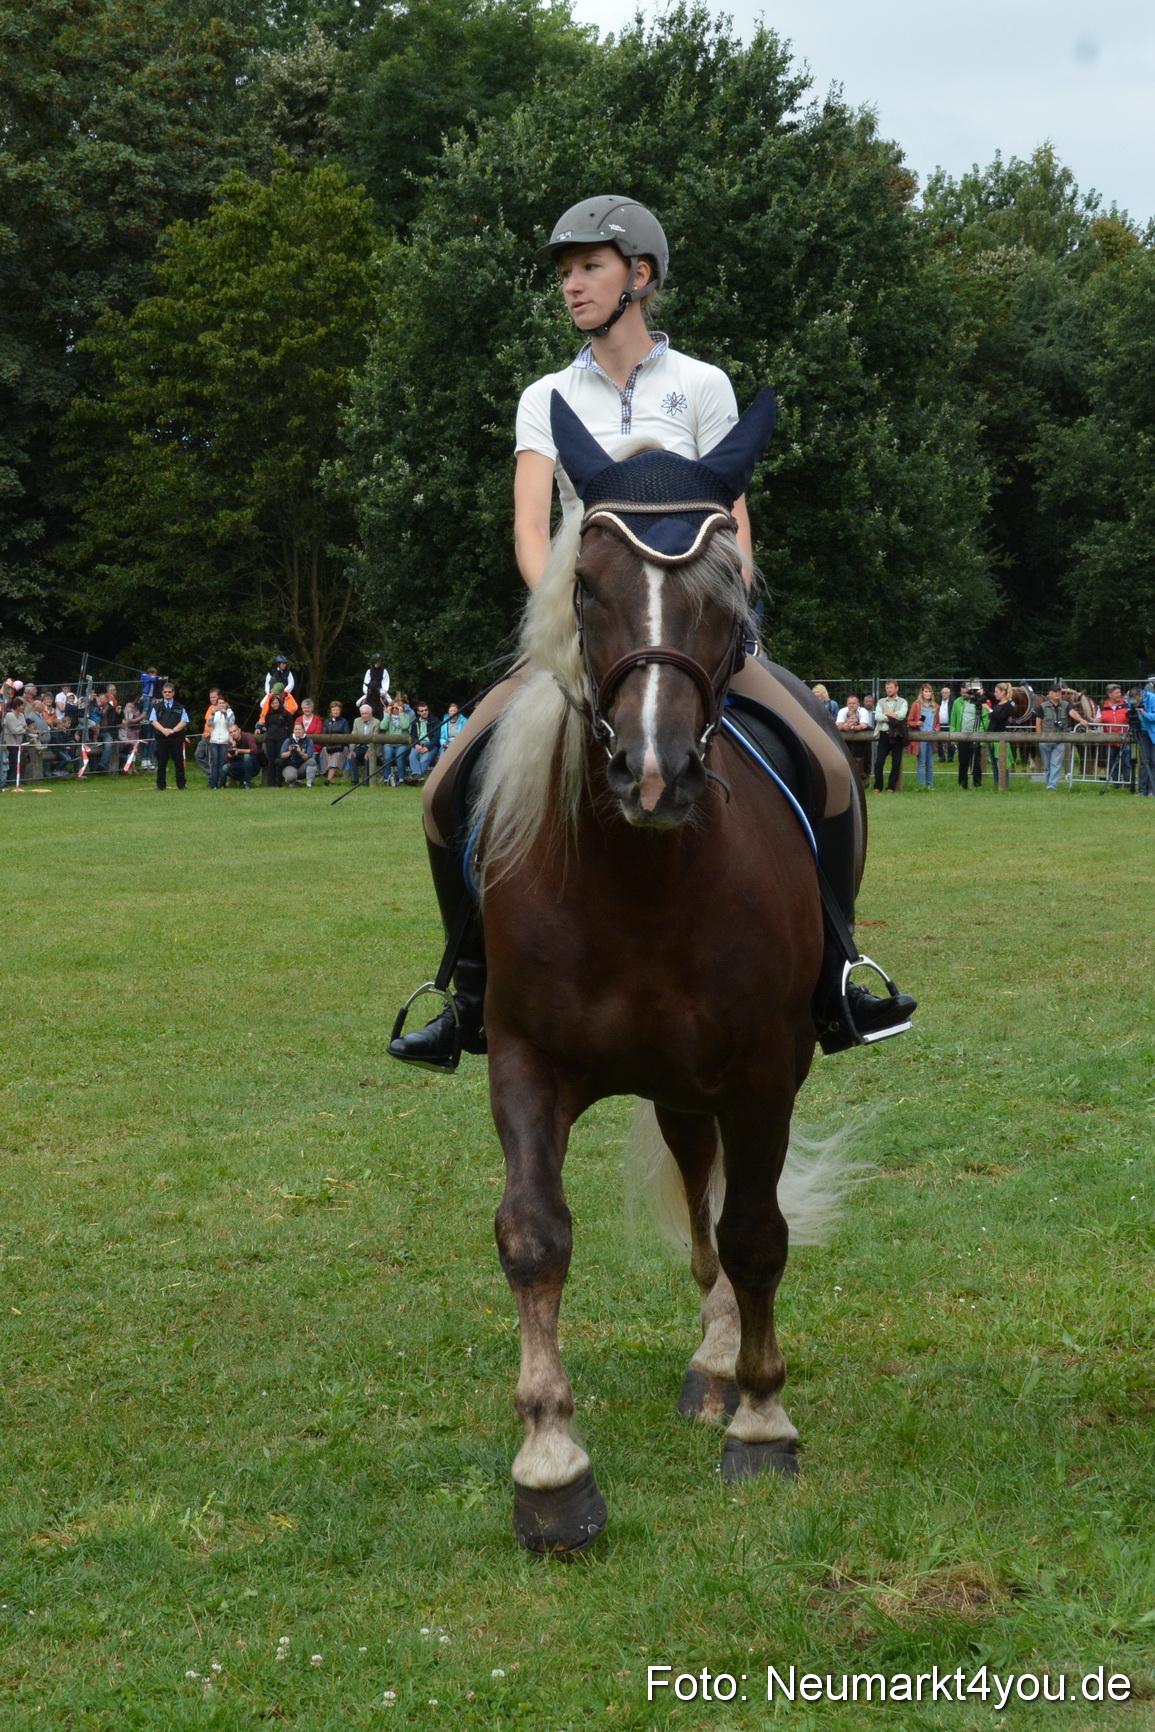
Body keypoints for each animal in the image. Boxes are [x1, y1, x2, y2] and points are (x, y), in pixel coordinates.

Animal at [470, 396, 862, 1552]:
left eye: (725, 591)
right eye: (586, 586)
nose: (654, 774)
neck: (642, 881)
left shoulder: (764, 1067)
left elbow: (759, 1235)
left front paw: (763, 1424)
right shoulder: (522, 1058)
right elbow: (535, 1236)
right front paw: (551, 1470)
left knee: (727, 1209)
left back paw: (724, 1366)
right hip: (680, 1085)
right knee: (698, 1182)